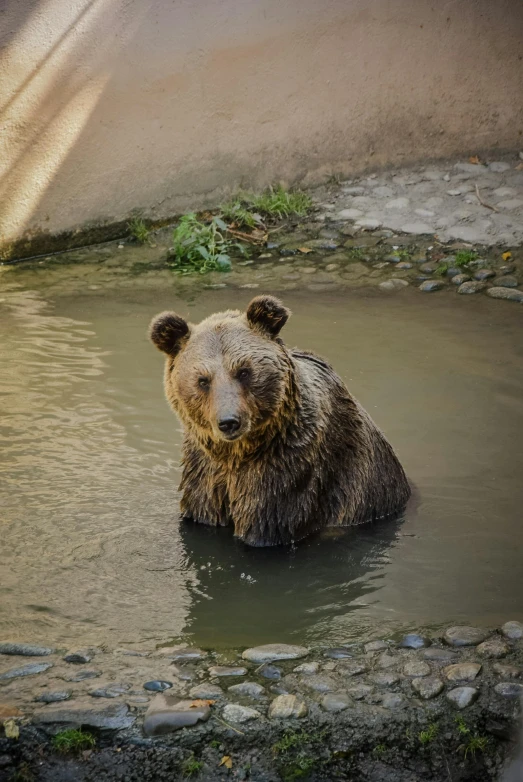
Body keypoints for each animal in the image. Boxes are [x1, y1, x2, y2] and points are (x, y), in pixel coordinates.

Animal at [149, 298, 412, 548]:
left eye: (244, 371)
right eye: (203, 380)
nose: (229, 422)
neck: (237, 453)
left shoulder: (290, 468)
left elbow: (267, 524)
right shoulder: (203, 470)